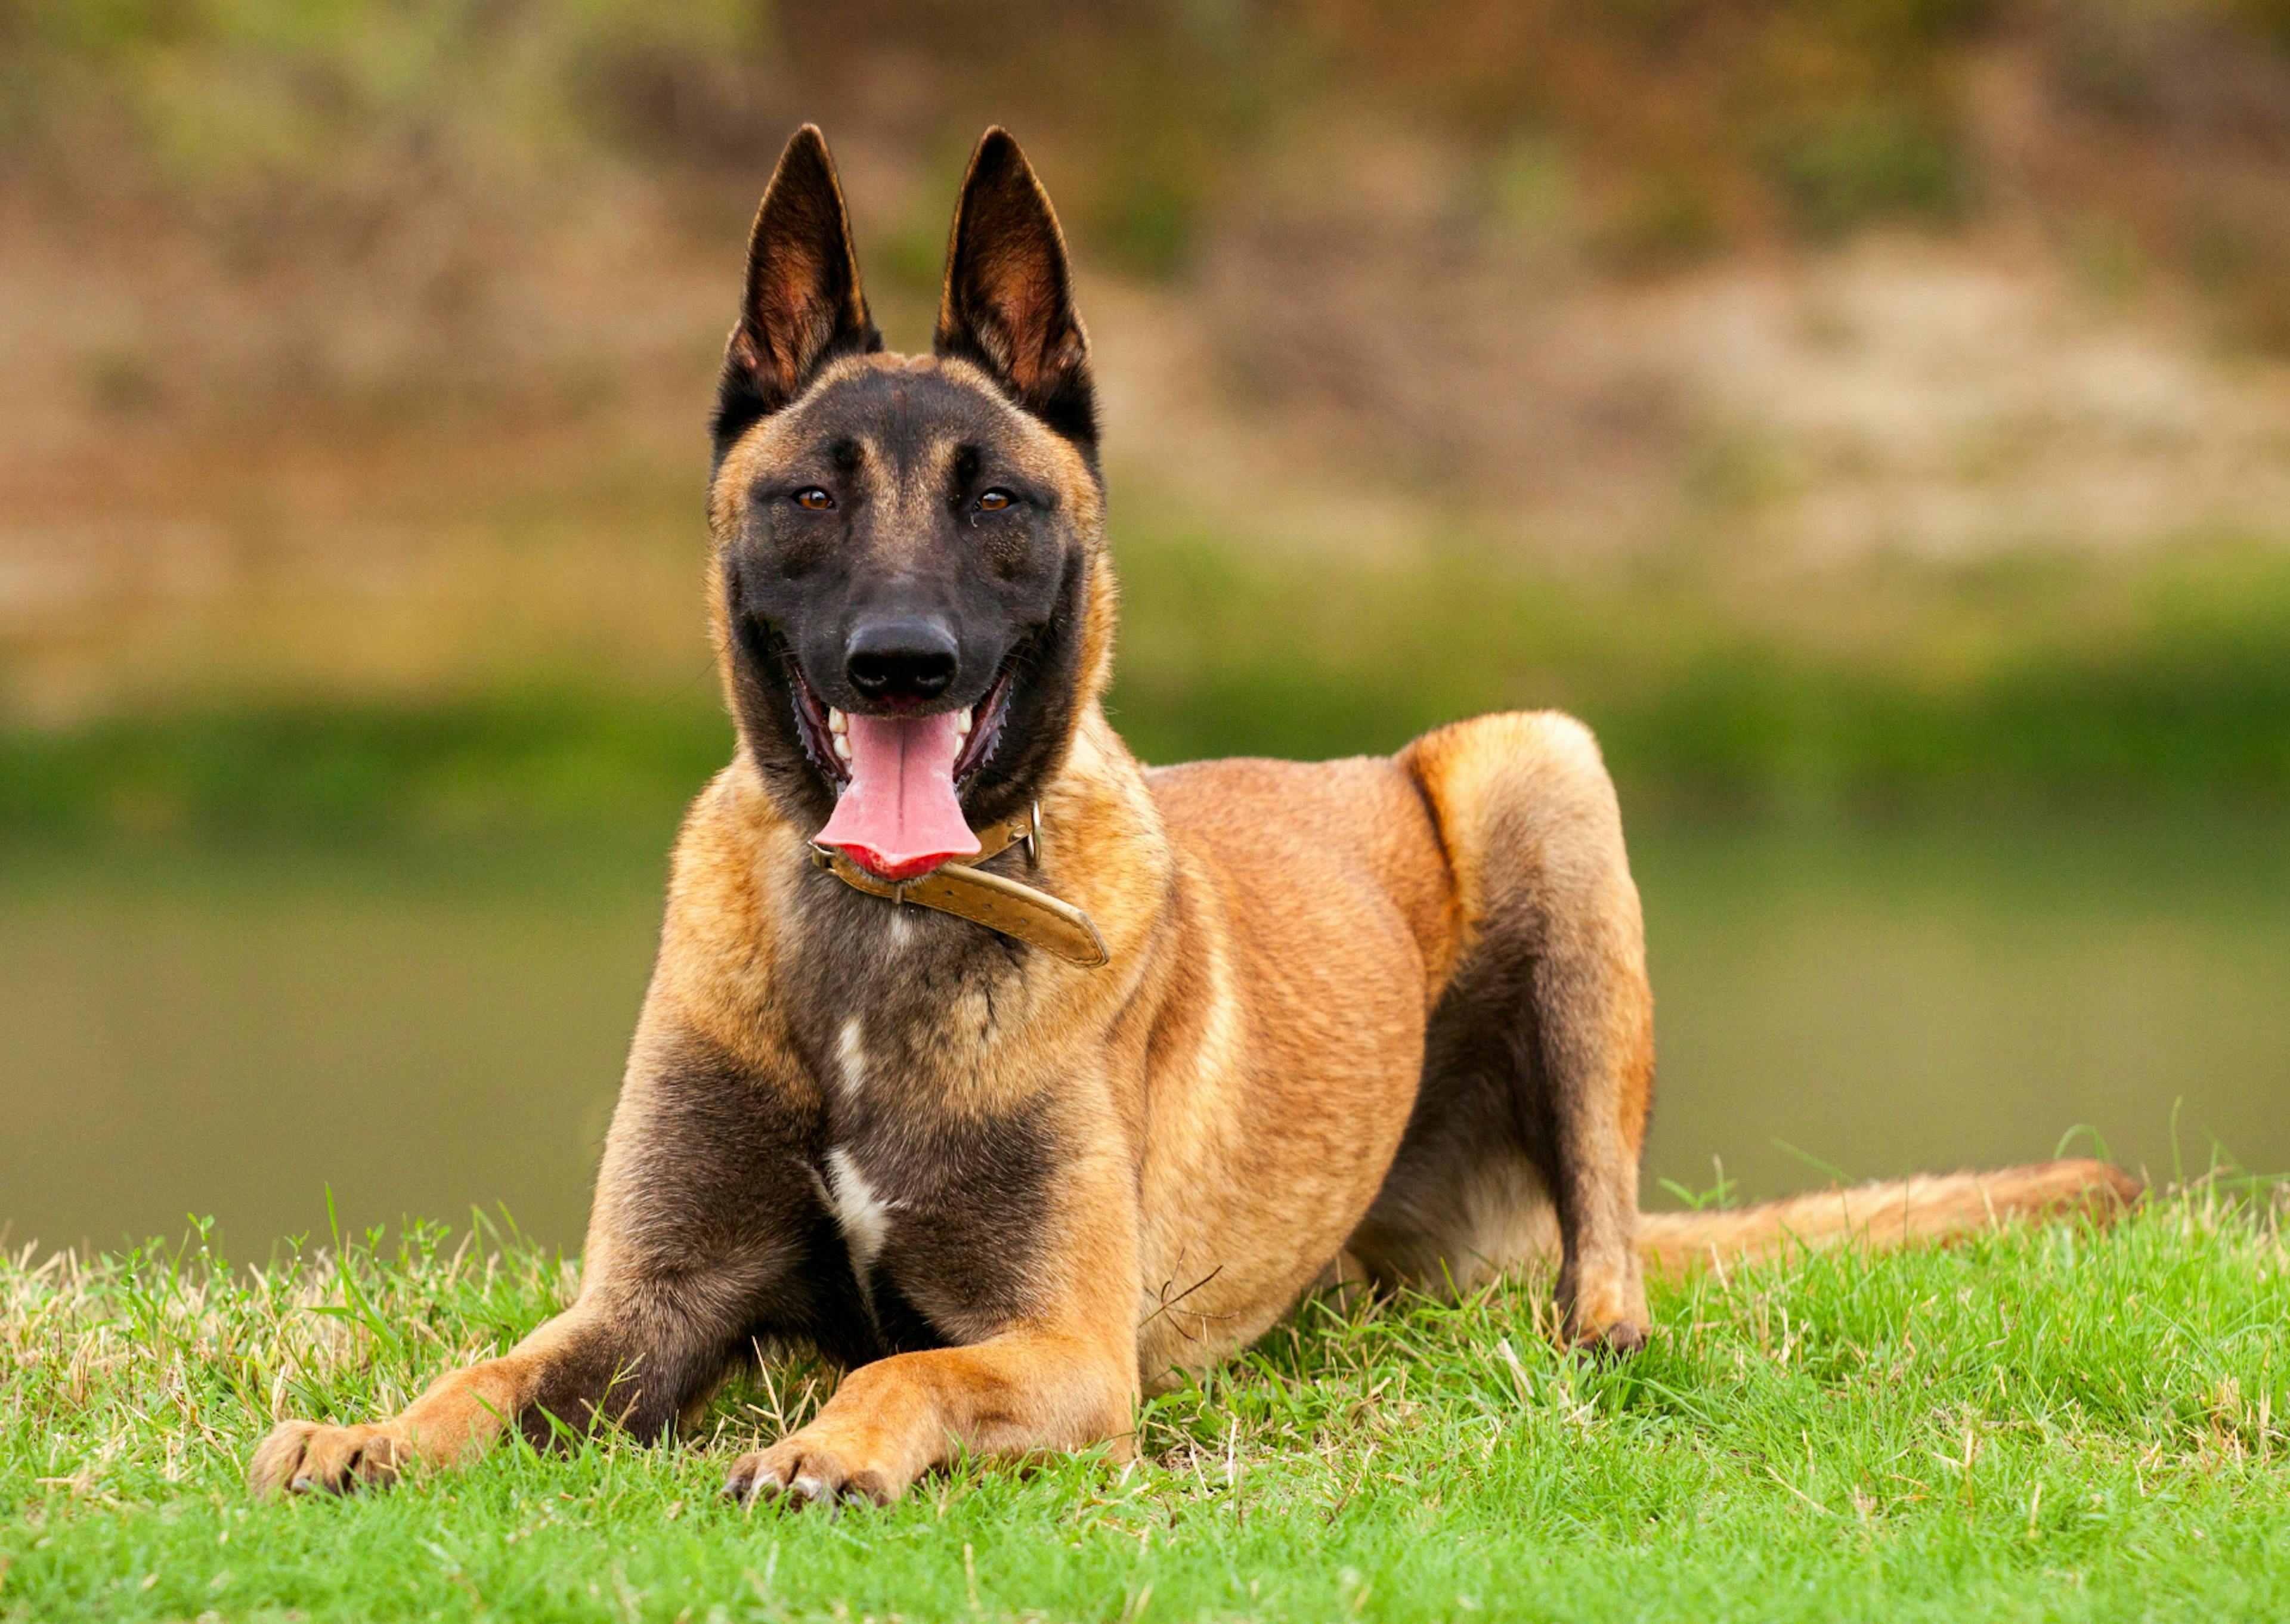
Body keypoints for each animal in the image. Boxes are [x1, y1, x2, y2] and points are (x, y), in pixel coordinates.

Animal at [255, 126, 2143, 1511]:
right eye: (805, 498)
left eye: (1000, 503)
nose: (899, 661)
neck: (885, 940)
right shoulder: (646, 1303)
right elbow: (494, 1368)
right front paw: (370, 1431)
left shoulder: (1065, 1346)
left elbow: (902, 1359)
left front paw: (825, 1443)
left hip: (1537, 767)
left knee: (1611, 1245)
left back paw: (1596, 1334)